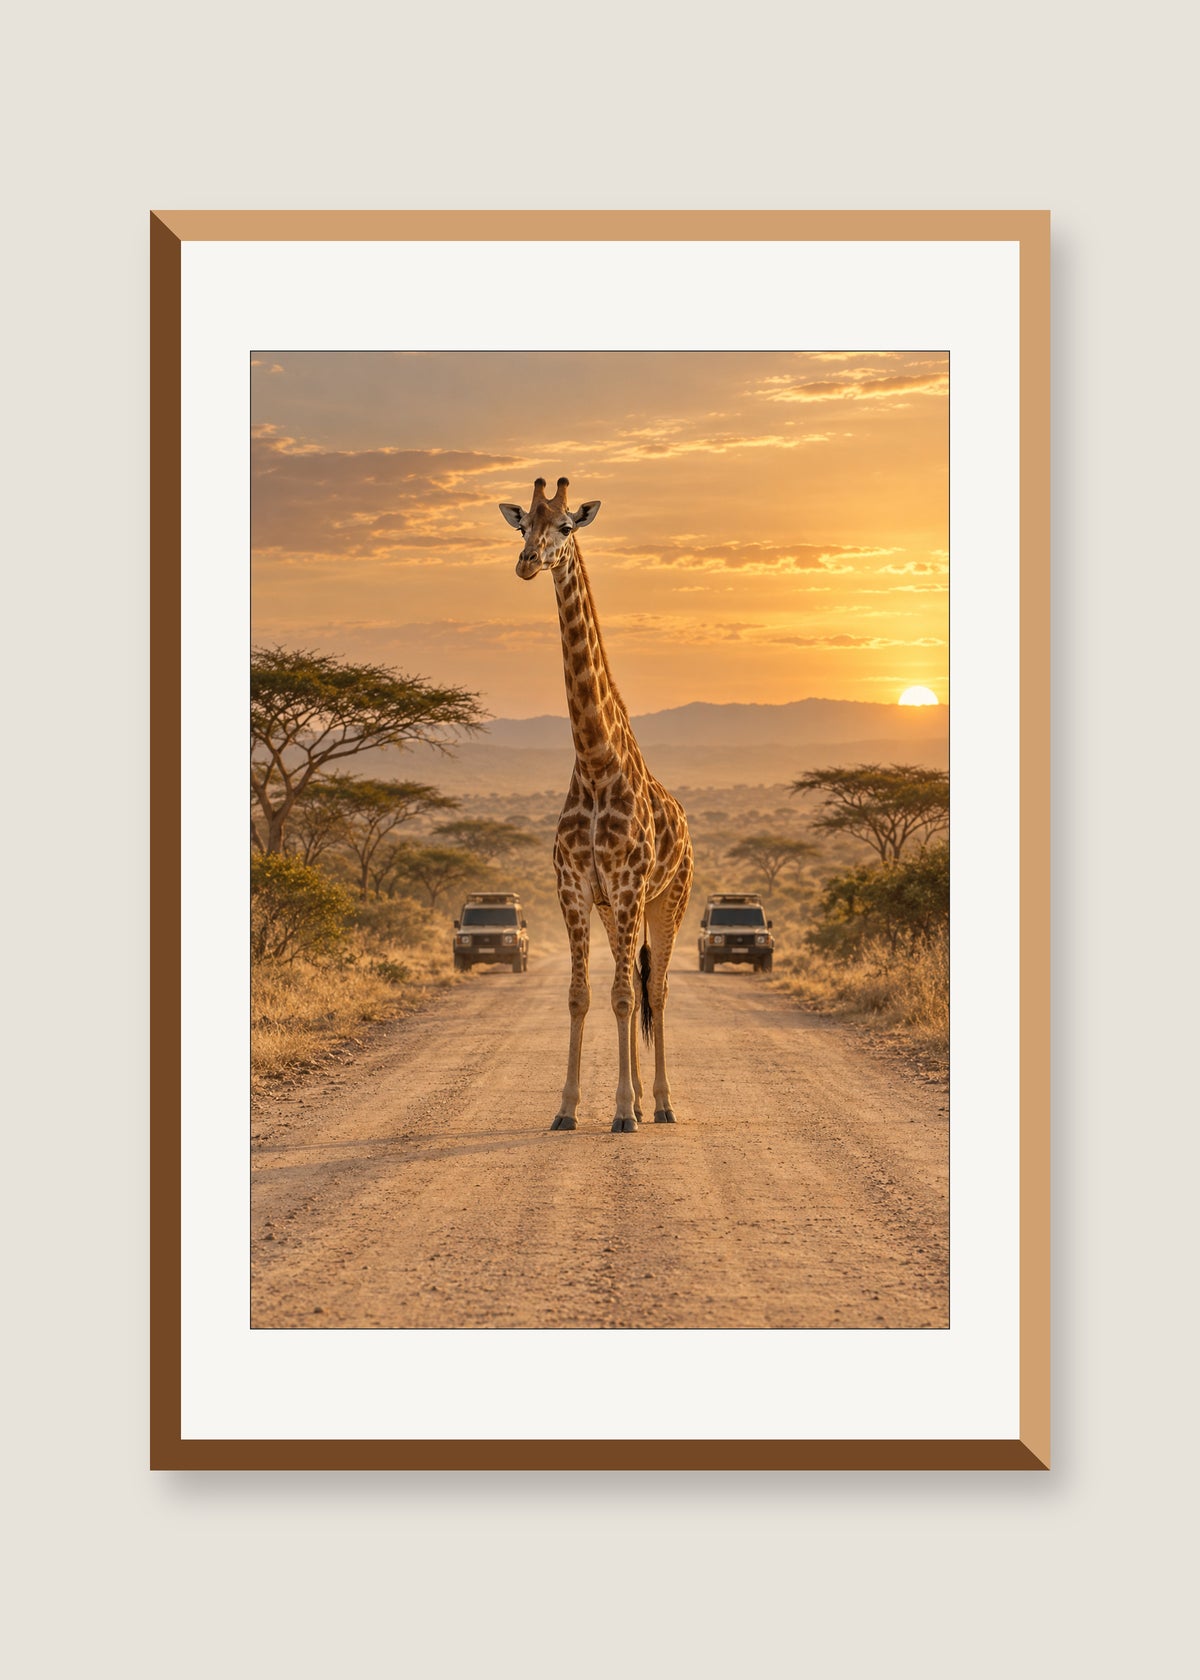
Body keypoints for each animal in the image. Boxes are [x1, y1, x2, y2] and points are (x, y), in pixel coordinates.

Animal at [499, 477, 694, 1133]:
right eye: (523, 524)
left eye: (565, 527)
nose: (528, 563)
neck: (593, 760)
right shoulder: (577, 888)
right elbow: (583, 995)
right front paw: (567, 1108)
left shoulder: (631, 886)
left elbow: (628, 996)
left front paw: (625, 1112)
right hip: (617, 910)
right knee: (627, 984)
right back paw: (631, 1099)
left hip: (668, 899)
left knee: (654, 990)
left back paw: (657, 1104)